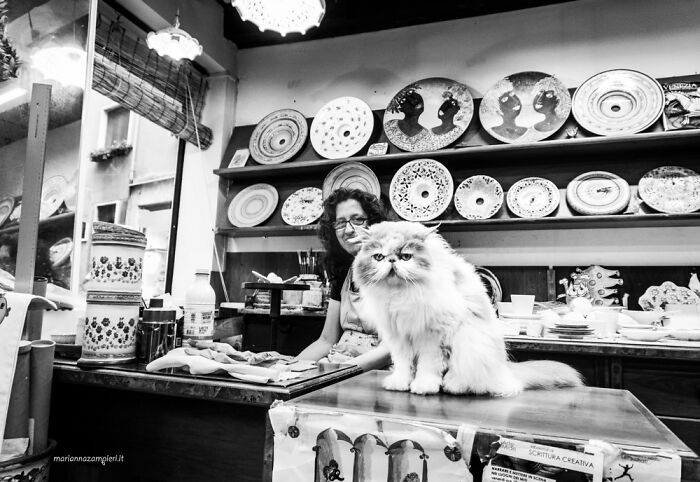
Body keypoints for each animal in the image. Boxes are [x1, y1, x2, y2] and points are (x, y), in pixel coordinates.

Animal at [352, 221, 584, 396]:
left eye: (406, 256)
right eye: (379, 257)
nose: (391, 260)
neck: (400, 295)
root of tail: (506, 371)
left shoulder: (431, 337)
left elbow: (427, 366)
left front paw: (424, 386)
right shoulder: (398, 338)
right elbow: (403, 365)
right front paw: (400, 383)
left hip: (470, 342)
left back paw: (452, 385)